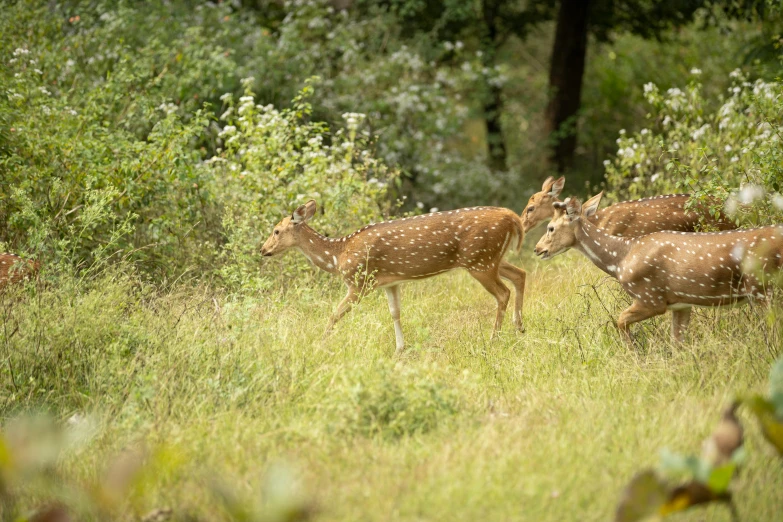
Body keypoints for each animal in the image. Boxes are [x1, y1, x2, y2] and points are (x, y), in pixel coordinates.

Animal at [262, 199, 528, 354]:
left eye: (276, 230)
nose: (263, 250)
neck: (337, 256)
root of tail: (513, 218)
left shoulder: (360, 283)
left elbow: (334, 314)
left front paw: (320, 344)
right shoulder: (390, 283)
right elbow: (395, 313)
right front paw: (400, 349)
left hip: (480, 261)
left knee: (503, 292)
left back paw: (494, 338)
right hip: (492, 259)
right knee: (520, 274)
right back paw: (520, 327)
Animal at [532, 193, 783, 344]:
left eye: (551, 228)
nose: (537, 249)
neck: (621, 258)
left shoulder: (651, 298)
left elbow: (620, 320)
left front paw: (633, 354)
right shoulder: (681, 303)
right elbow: (677, 343)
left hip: (761, 288)